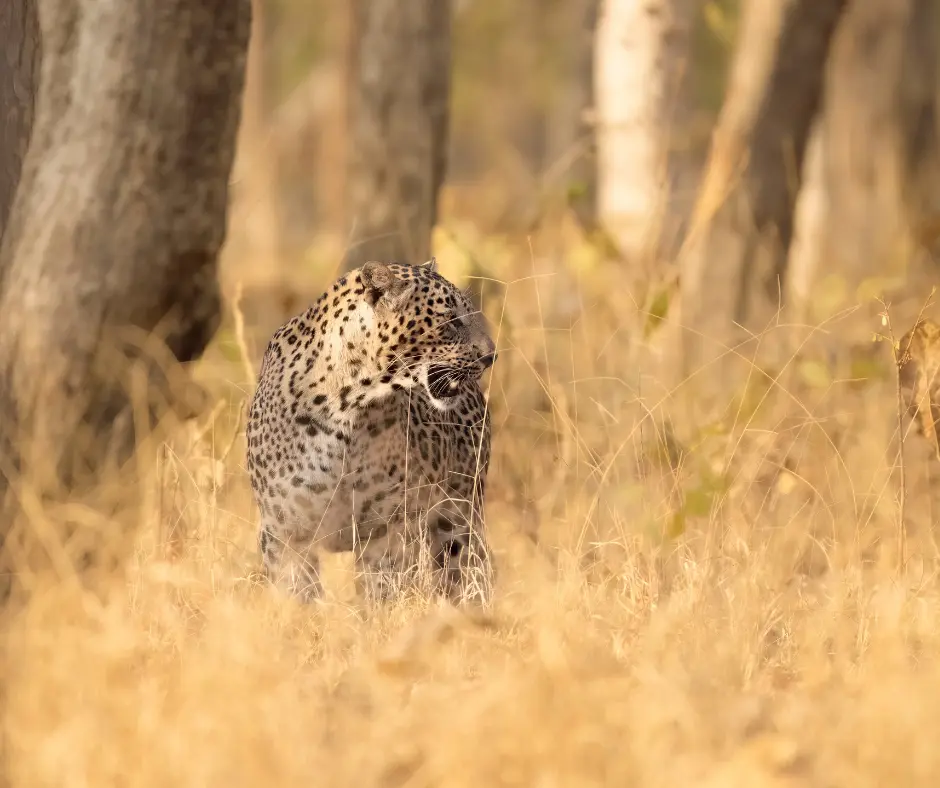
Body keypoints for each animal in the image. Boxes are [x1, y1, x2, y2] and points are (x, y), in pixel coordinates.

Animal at [246, 258, 500, 604]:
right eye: (450, 320)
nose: (491, 355)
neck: (347, 407)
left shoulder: (386, 530)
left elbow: (381, 592)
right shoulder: (284, 533)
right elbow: (297, 595)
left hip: (460, 514)